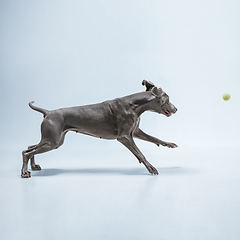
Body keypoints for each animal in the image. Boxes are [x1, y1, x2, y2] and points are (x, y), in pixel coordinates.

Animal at [20, 81, 177, 178]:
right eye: (168, 98)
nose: (176, 109)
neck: (135, 105)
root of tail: (48, 112)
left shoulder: (135, 131)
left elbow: (155, 138)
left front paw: (169, 144)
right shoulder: (124, 137)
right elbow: (140, 154)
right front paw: (151, 168)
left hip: (54, 140)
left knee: (29, 147)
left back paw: (33, 167)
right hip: (52, 141)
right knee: (26, 152)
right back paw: (25, 173)